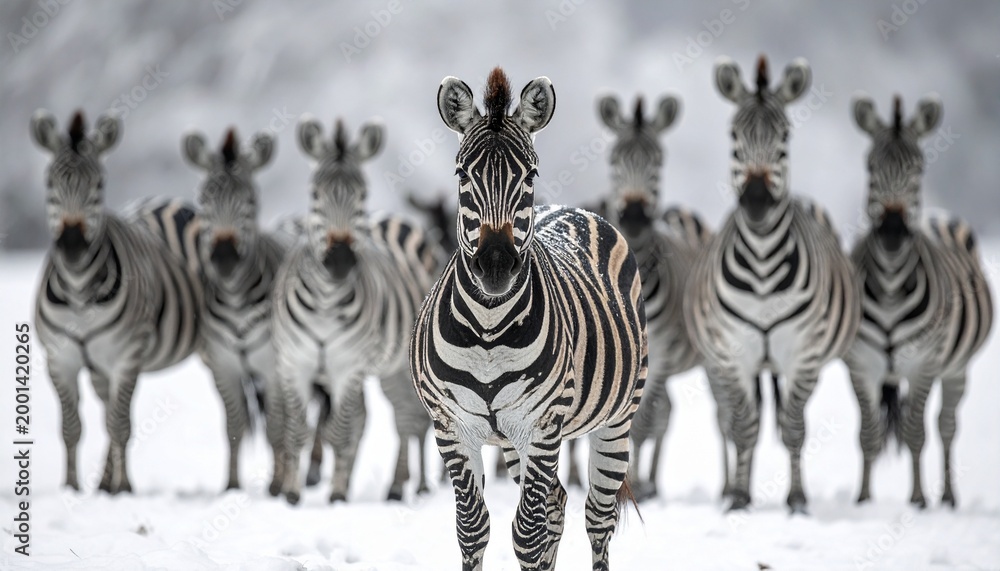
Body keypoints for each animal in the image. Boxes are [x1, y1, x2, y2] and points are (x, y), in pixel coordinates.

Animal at [30, 109, 201, 493]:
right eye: (49, 184)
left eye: (98, 185)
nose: (72, 243)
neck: (79, 291)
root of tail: (164, 198)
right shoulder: (59, 358)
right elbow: (72, 427)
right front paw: (72, 488)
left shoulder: (126, 355)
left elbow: (119, 424)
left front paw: (124, 489)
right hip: (98, 366)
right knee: (105, 408)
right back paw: (105, 482)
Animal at [272, 117, 439, 505]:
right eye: (315, 196)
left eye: (361, 196)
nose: (340, 260)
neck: (325, 301)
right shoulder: (294, 364)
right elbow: (297, 430)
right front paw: (292, 494)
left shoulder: (348, 366)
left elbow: (339, 429)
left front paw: (335, 494)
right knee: (373, 419)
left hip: (399, 366)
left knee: (405, 418)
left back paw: (398, 486)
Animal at [410, 67, 648, 571]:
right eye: (462, 172)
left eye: (530, 173)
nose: (496, 266)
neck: (487, 328)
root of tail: (572, 208)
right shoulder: (451, 428)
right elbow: (473, 529)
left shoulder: (543, 426)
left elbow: (527, 533)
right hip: (515, 444)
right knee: (557, 505)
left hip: (617, 420)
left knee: (596, 518)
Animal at [684, 56, 860, 513]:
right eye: (734, 137)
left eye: (784, 138)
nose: (758, 202)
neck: (763, 264)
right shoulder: (734, 353)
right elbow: (744, 426)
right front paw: (739, 499)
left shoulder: (803, 354)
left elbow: (794, 427)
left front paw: (797, 500)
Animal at [844, 94, 993, 508]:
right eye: (870, 166)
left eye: (917, 168)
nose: (893, 232)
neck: (891, 285)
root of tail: (938, 217)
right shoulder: (860, 365)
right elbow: (868, 432)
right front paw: (863, 499)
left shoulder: (924, 364)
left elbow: (916, 431)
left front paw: (918, 500)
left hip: (956, 368)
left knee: (945, 426)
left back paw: (947, 497)